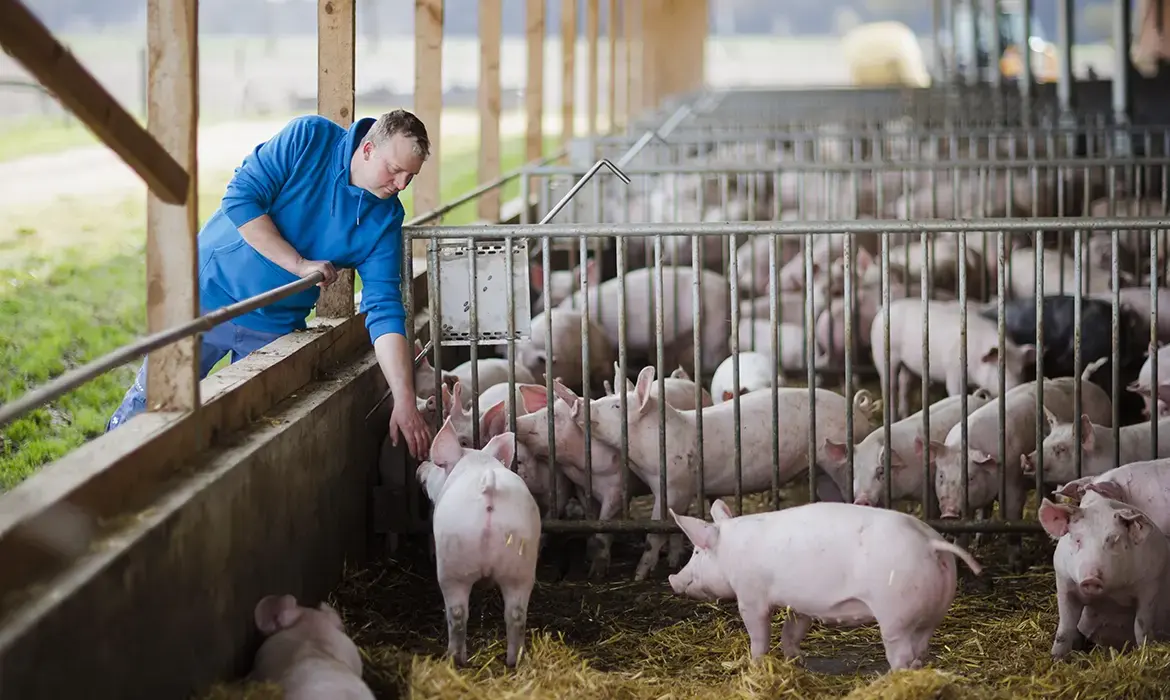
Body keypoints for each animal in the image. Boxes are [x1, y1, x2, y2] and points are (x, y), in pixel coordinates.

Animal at [418, 416, 540, 669]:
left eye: (437, 465)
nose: (419, 467)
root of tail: (489, 487)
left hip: (452, 564)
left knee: (456, 614)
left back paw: (455, 660)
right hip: (520, 562)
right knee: (516, 614)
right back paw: (514, 662)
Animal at [669, 501, 978, 674]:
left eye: (696, 552)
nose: (673, 579)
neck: (730, 551)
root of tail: (931, 544)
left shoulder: (750, 595)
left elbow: (759, 633)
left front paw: (755, 664)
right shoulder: (801, 604)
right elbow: (792, 631)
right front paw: (796, 662)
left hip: (896, 616)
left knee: (901, 655)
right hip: (933, 612)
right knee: (921, 650)